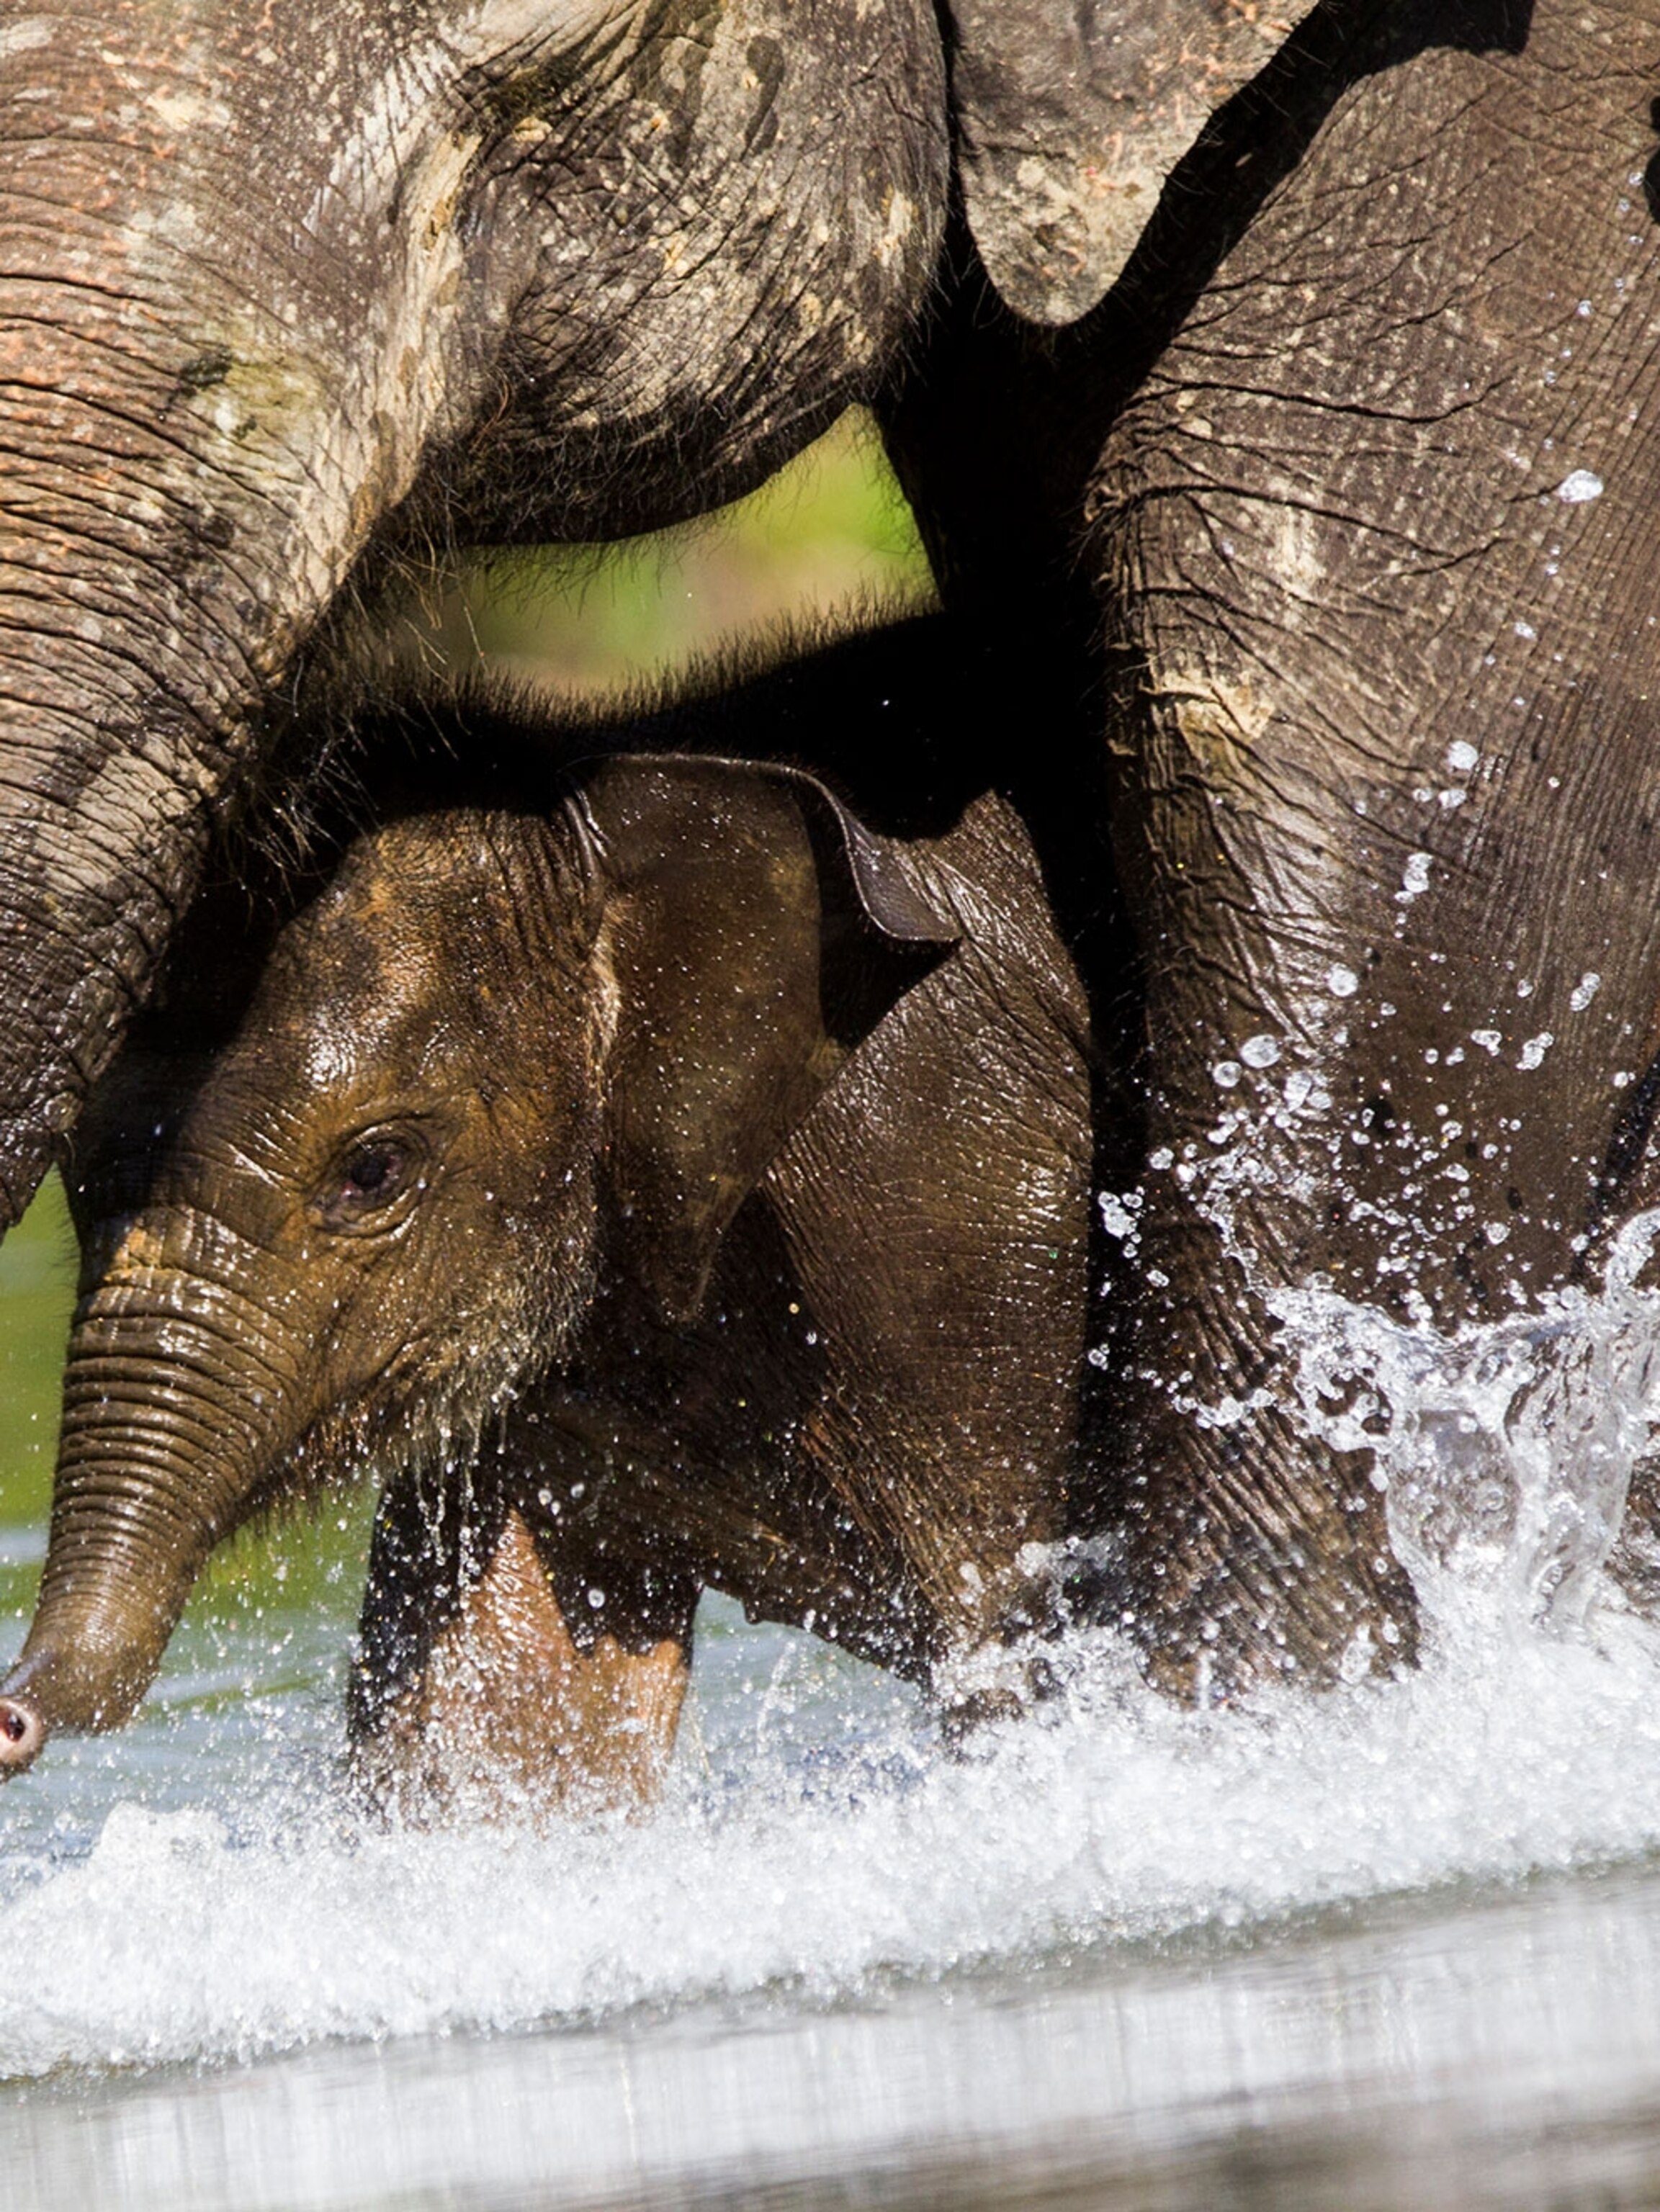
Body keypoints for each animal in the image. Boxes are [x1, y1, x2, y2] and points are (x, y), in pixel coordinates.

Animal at [0, 616, 1097, 1800]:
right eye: (75, 1180)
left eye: (372, 1171)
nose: (12, 1719)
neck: (581, 800)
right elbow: (502, 1712)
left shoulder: (952, 1203)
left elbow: (1006, 1628)